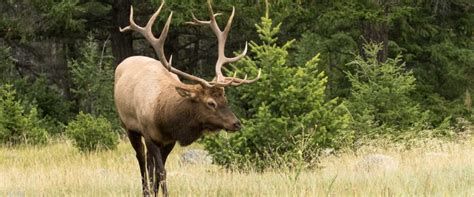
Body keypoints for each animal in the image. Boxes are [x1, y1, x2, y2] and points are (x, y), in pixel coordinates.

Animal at [113, 0, 260, 196]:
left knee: (149, 163)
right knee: (142, 160)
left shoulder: (169, 141)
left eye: (225, 100)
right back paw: (145, 190)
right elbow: (161, 171)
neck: (164, 117)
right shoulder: (149, 134)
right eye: (210, 103)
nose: (236, 123)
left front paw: (157, 191)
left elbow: (160, 171)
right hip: (129, 126)